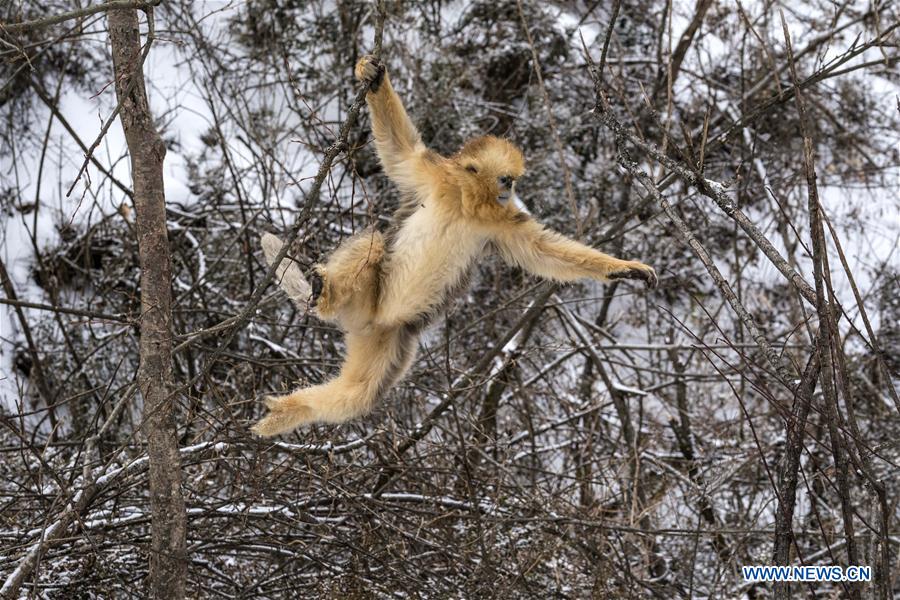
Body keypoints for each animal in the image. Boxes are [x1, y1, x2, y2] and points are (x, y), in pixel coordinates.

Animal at [251, 55, 656, 437]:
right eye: (506, 179)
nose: (510, 190)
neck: (465, 203)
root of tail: (365, 319)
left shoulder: (501, 222)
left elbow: (541, 250)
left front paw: (625, 268)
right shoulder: (433, 176)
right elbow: (401, 152)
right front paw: (374, 77)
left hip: (390, 338)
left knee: (358, 394)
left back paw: (288, 411)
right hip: (367, 301)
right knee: (374, 242)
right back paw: (326, 295)